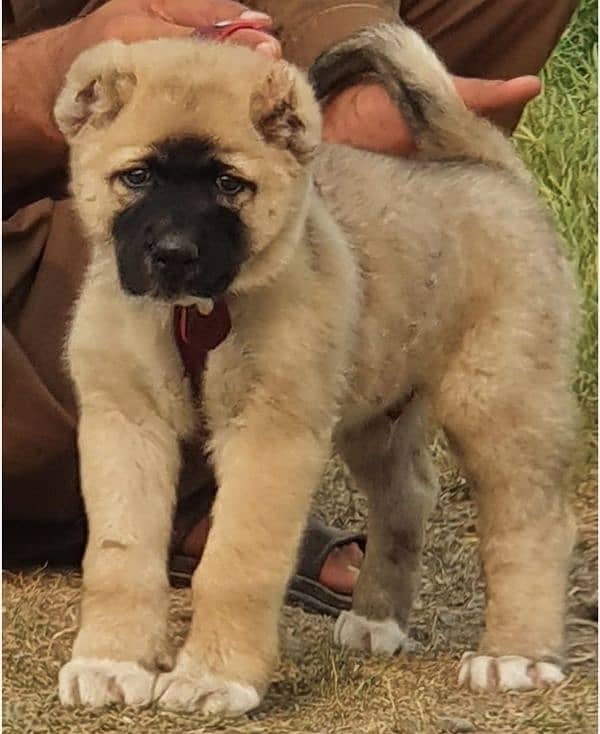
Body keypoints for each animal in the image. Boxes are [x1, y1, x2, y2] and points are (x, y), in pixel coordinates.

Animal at [55, 23, 576, 720]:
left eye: (229, 184)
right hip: (378, 410)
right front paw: (110, 662)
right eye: (136, 177)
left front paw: (216, 676)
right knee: (408, 494)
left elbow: (236, 562)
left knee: (531, 522)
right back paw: (379, 620)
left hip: (498, 401)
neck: (196, 316)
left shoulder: (270, 437)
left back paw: (515, 654)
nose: (173, 255)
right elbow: (119, 556)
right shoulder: (125, 422)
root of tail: (491, 169)